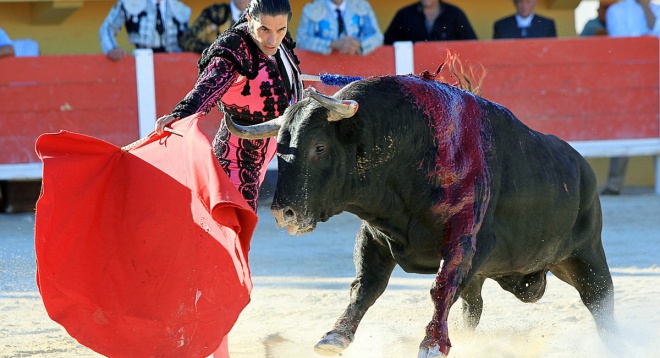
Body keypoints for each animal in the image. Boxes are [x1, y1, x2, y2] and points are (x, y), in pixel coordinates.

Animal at [227, 74, 620, 356]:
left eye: (319, 147)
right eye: (277, 147)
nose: (285, 212)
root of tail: (582, 166)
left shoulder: (463, 239)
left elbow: (440, 287)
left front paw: (432, 344)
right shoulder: (374, 236)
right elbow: (365, 286)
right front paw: (334, 336)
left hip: (586, 254)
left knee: (601, 300)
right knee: (473, 306)